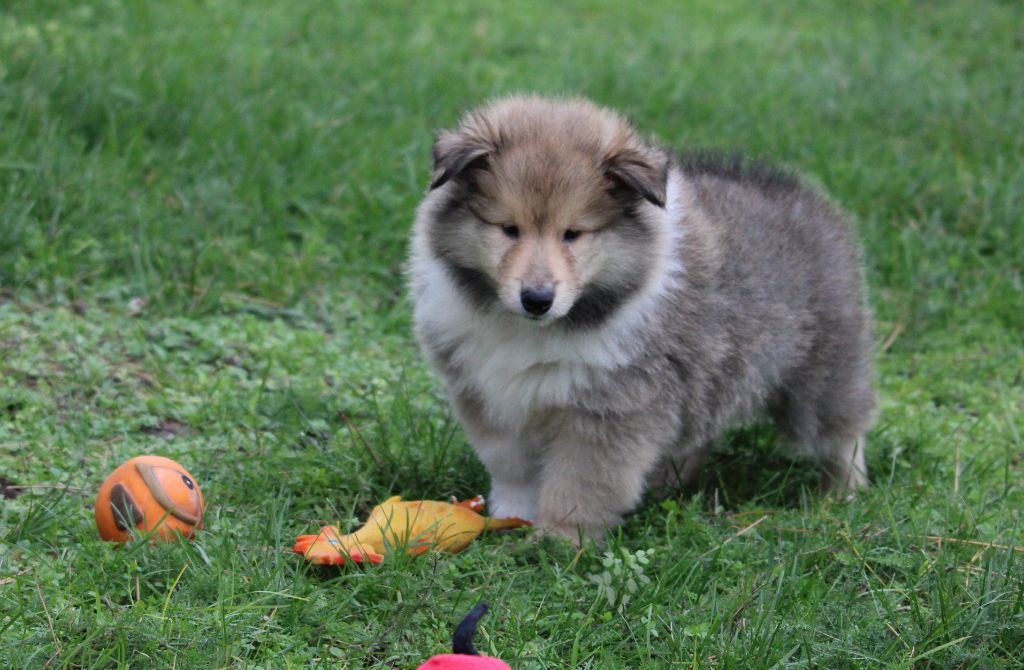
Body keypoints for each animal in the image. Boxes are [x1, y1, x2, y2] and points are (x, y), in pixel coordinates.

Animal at [408, 96, 874, 540]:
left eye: (573, 234)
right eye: (508, 228)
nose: (537, 299)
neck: (533, 329)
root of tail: (801, 194)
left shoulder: (610, 409)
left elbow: (580, 481)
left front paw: (559, 539)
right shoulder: (487, 394)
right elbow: (510, 466)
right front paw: (511, 517)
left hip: (823, 370)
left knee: (843, 431)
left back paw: (844, 494)